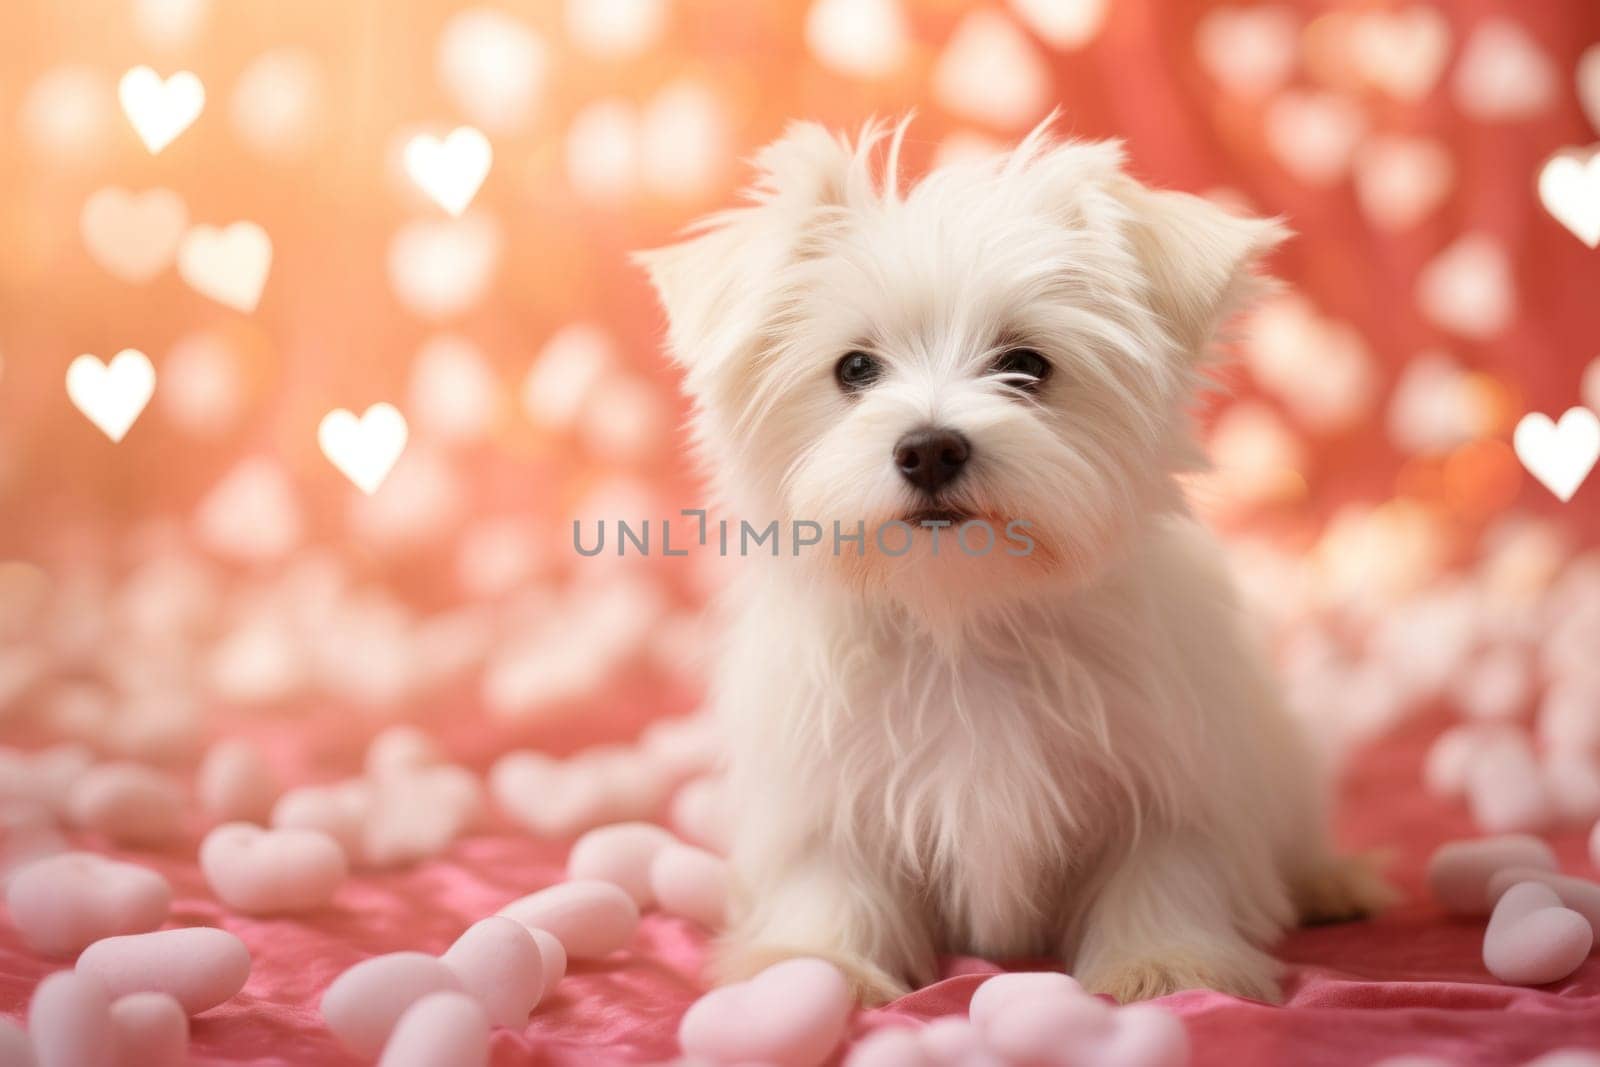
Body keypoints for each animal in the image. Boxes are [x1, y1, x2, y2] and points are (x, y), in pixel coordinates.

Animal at [633, 120, 1388, 1004]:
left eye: (1026, 364)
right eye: (854, 368)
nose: (929, 447)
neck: (965, 615)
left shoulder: (1175, 768)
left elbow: (1166, 867)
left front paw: (1166, 961)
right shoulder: (825, 784)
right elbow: (831, 877)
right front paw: (816, 964)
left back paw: (1331, 879)